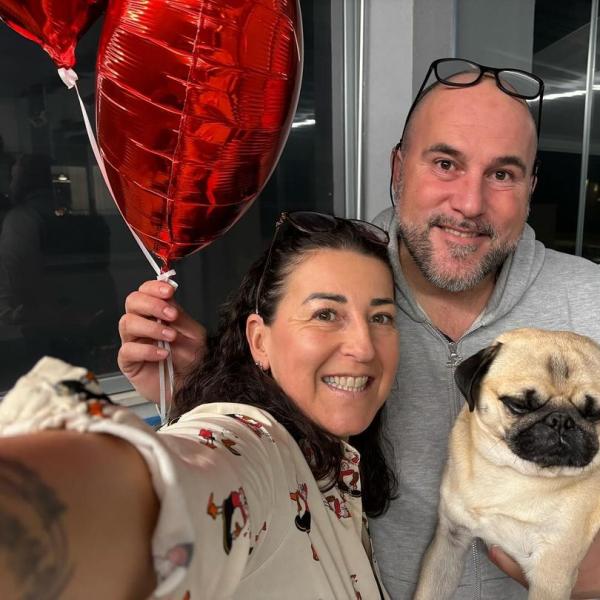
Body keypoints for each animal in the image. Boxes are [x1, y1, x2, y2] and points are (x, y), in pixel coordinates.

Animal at [414, 328, 600, 600]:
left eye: (594, 413)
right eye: (518, 405)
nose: (561, 420)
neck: (512, 473)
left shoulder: (551, 574)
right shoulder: (449, 539)